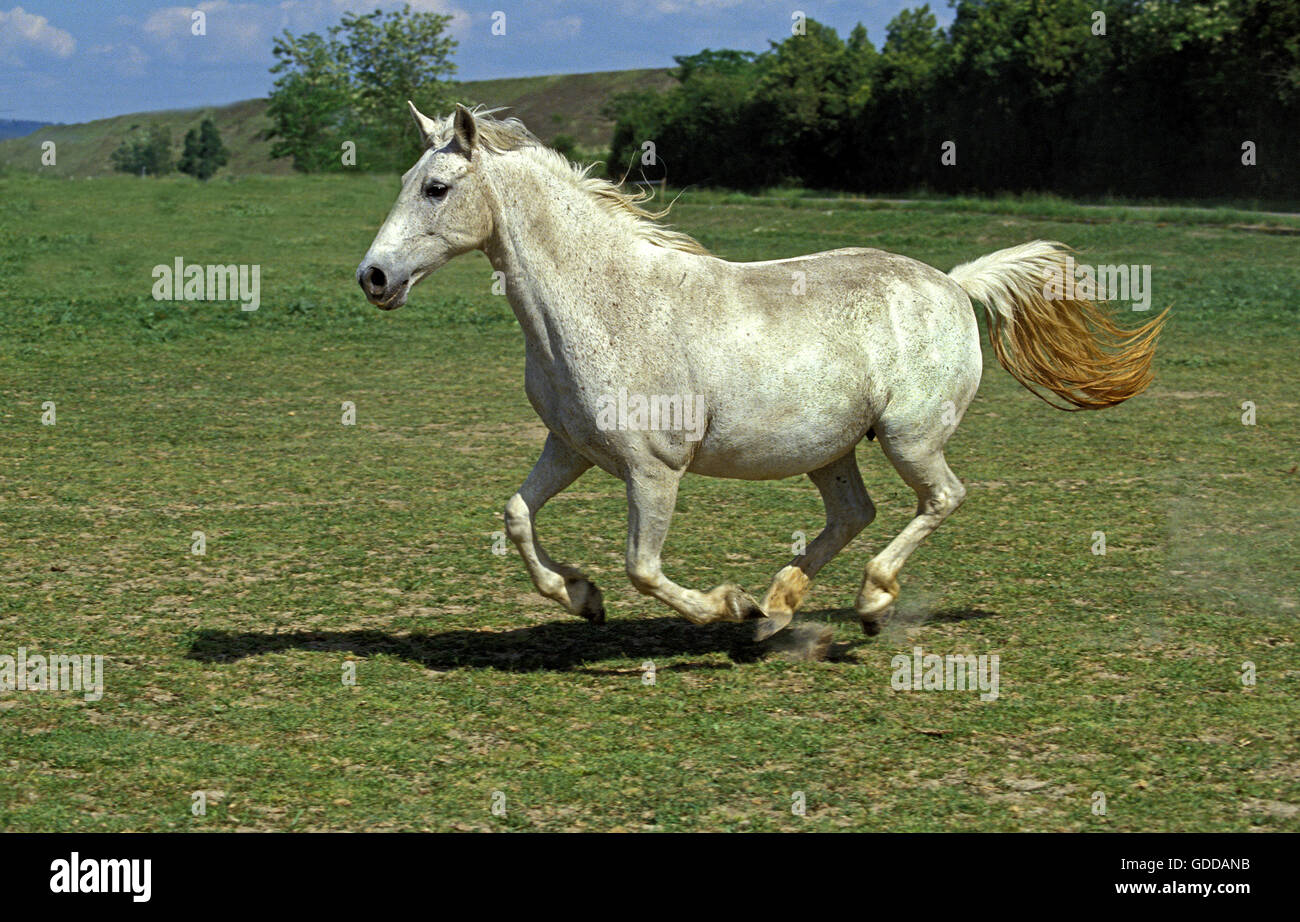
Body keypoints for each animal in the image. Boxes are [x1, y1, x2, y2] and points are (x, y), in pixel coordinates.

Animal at [358, 104, 1170, 645]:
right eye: (405, 179)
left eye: (435, 188)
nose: (373, 277)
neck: (603, 302)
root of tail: (952, 281)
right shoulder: (572, 448)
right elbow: (518, 516)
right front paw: (582, 597)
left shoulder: (653, 468)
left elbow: (643, 567)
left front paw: (725, 606)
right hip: (830, 448)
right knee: (854, 513)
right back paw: (781, 605)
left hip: (910, 437)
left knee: (941, 499)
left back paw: (864, 603)